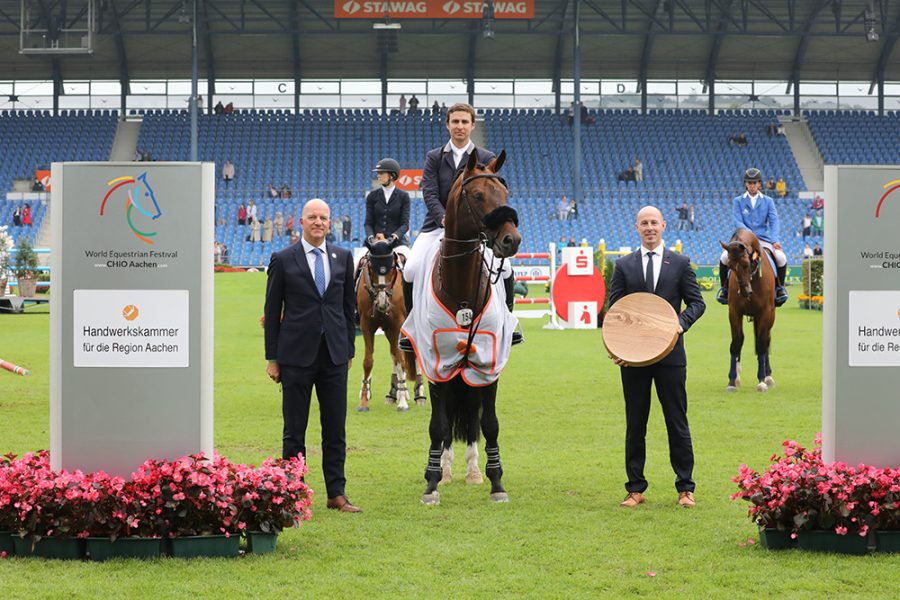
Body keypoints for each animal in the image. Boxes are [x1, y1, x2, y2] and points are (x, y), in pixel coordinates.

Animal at [356, 234, 426, 412]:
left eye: (392, 268)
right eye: (371, 268)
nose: (382, 303)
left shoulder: (397, 325)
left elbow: (401, 360)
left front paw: (402, 403)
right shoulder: (367, 325)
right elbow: (368, 361)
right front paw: (364, 400)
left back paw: (418, 394)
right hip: (388, 330)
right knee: (394, 355)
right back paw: (393, 393)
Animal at [400, 150, 520, 506]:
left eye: (504, 193)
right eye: (478, 196)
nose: (511, 240)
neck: (463, 285)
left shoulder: (489, 361)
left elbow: (489, 423)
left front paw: (496, 482)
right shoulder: (436, 362)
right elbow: (438, 425)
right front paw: (432, 484)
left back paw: (472, 470)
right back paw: (446, 469)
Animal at [720, 227, 776, 392]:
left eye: (746, 264)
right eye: (730, 266)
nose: (745, 292)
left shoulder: (765, 312)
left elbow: (762, 344)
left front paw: (762, 381)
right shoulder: (734, 312)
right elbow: (736, 342)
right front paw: (732, 381)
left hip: (770, 316)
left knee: (766, 339)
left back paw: (768, 376)